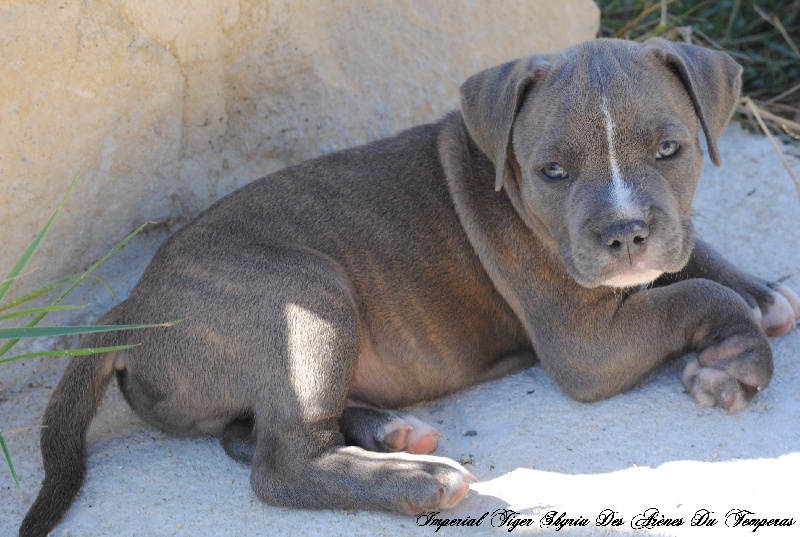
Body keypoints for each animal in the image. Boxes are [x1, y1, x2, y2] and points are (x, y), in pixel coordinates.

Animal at [20, 37, 800, 536]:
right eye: (552, 172)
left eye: (671, 149)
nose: (626, 233)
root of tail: (128, 310)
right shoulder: (587, 347)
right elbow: (695, 295)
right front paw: (735, 360)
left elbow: (697, 259)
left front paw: (762, 293)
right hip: (305, 293)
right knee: (279, 461)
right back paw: (415, 479)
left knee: (253, 432)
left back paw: (387, 431)